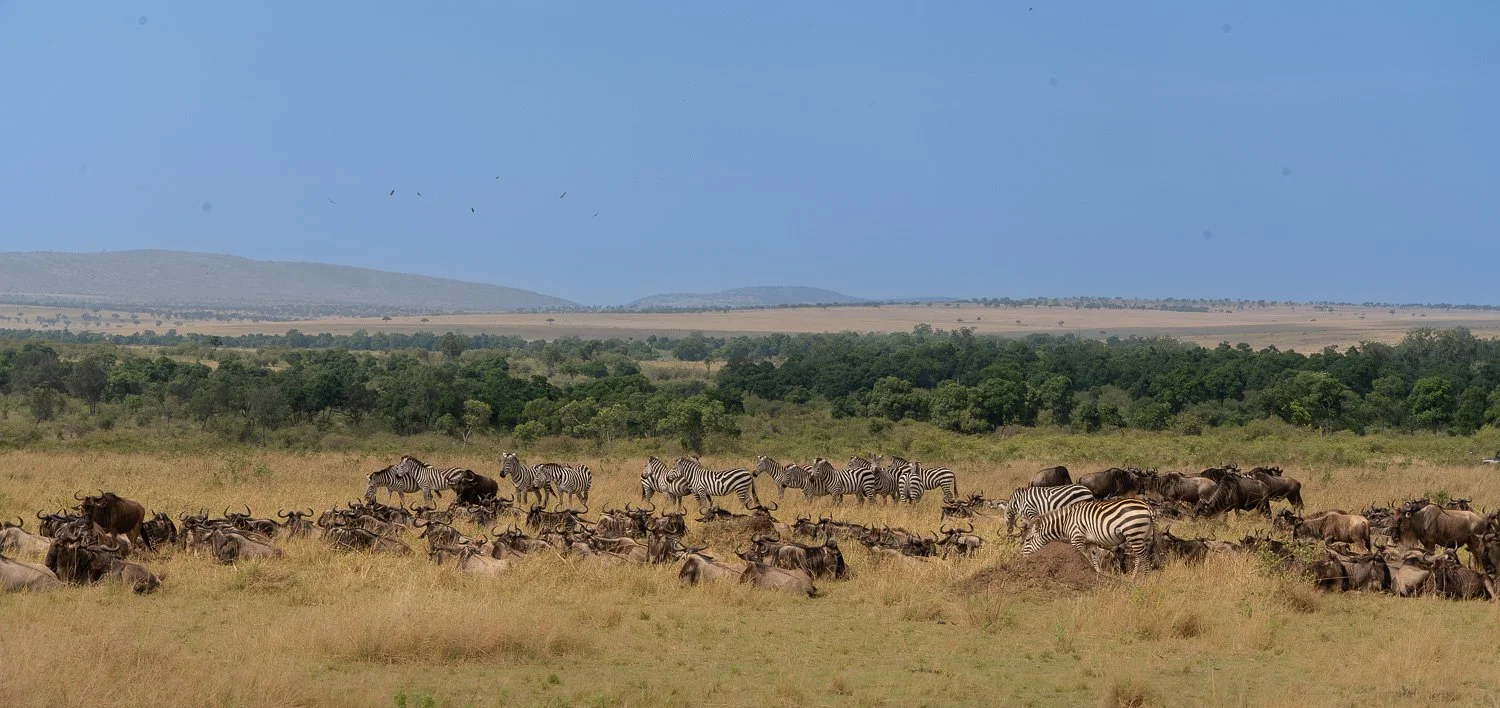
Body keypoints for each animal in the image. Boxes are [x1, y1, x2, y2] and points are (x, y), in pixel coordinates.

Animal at [1019, 498, 1156, 576]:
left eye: (1028, 540)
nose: (1022, 558)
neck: (1066, 522)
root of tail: (1146, 505)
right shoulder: (1091, 542)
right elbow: (1094, 558)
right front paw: (1098, 574)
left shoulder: (1077, 539)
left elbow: (1083, 558)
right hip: (1144, 536)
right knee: (1140, 557)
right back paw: (1134, 578)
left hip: (1134, 533)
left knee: (1144, 557)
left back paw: (1144, 578)